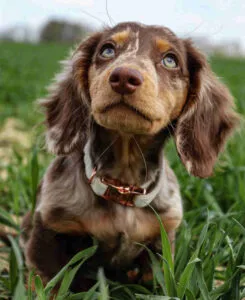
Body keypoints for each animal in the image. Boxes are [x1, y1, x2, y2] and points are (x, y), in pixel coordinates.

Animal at [20, 22, 238, 290]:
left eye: (170, 60)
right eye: (107, 50)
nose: (124, 77)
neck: (122, 186)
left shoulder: (161, 239)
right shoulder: (49, 229)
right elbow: (50, 282)